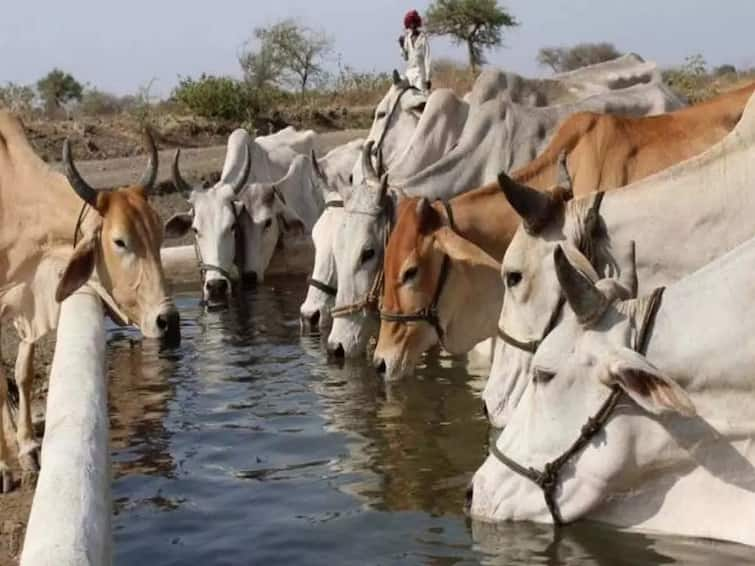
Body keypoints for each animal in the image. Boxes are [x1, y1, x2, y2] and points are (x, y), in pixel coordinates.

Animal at [0, 112, 179, 492]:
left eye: (160, 235)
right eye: (119, 241)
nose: (168, 320)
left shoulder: (28, 304)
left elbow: (22, 373)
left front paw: (28, 448)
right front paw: (5, 466)